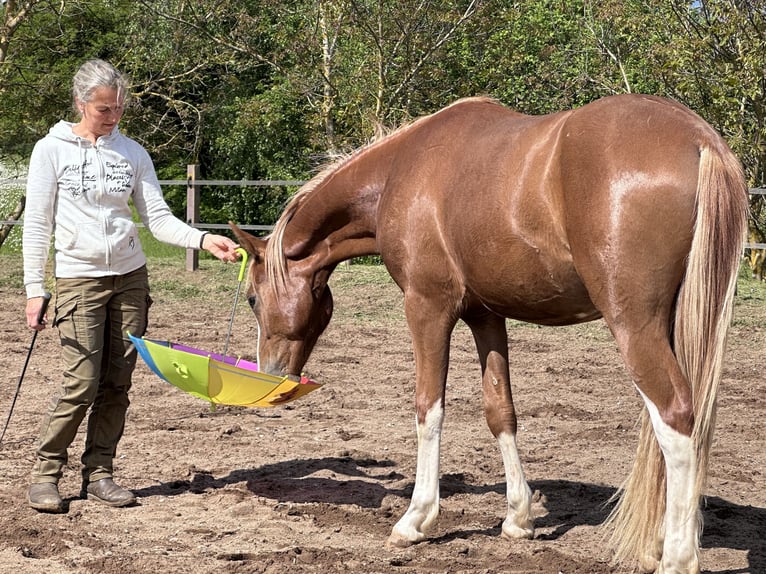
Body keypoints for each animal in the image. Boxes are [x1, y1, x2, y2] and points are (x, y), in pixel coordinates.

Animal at [229, 94, 748, 574]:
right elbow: (501, 411)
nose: (269, 374)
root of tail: (700, 139)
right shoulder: (486, 315)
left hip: (634, 326)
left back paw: (677, 556)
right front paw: (518, 517)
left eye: (252, 298)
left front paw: (416, 519)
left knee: (676, 418)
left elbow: (428, 408)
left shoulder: (427, 307)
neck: (402, 170)